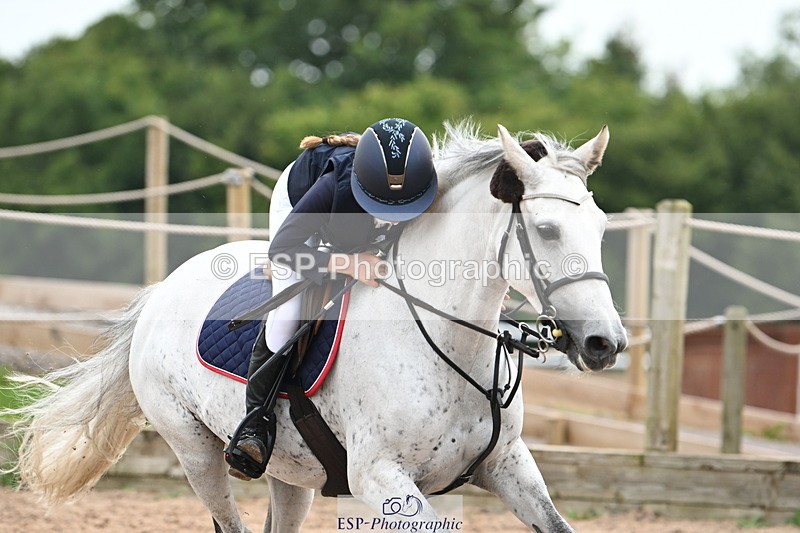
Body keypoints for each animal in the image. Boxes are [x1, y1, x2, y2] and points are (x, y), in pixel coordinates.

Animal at [7, 122, 627, 532]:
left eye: (600, 226)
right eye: (546, 230)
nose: (606, 344)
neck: (446, 343)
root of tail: (165, 289)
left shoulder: (507, 464)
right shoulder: (380, 478)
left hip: (292, 470)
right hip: (195, 449)